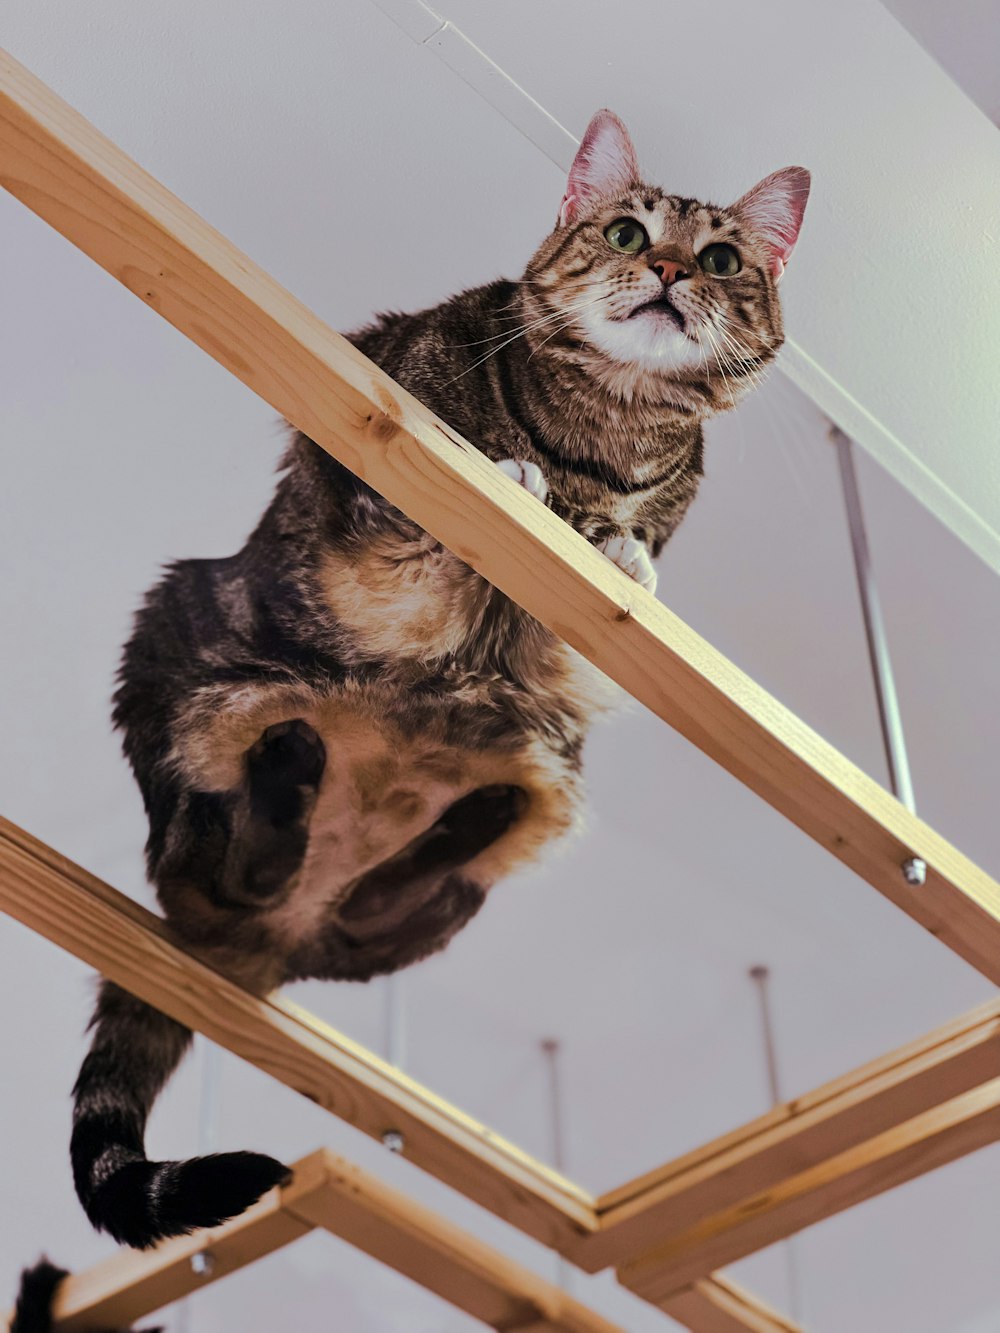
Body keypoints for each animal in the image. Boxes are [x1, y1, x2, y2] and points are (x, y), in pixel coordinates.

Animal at [68, 106, 805, 1247]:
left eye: (721, 259)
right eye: (629, 234)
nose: (673, 270)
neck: (612, 423)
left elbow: (628, 556)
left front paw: (625, 549)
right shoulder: (368, 459)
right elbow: (443, 490)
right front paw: (519, 473)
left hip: (507, 827)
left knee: (381, 901)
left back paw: (432, 819)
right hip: (177, 656)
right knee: (223, 850)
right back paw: (286, 771)